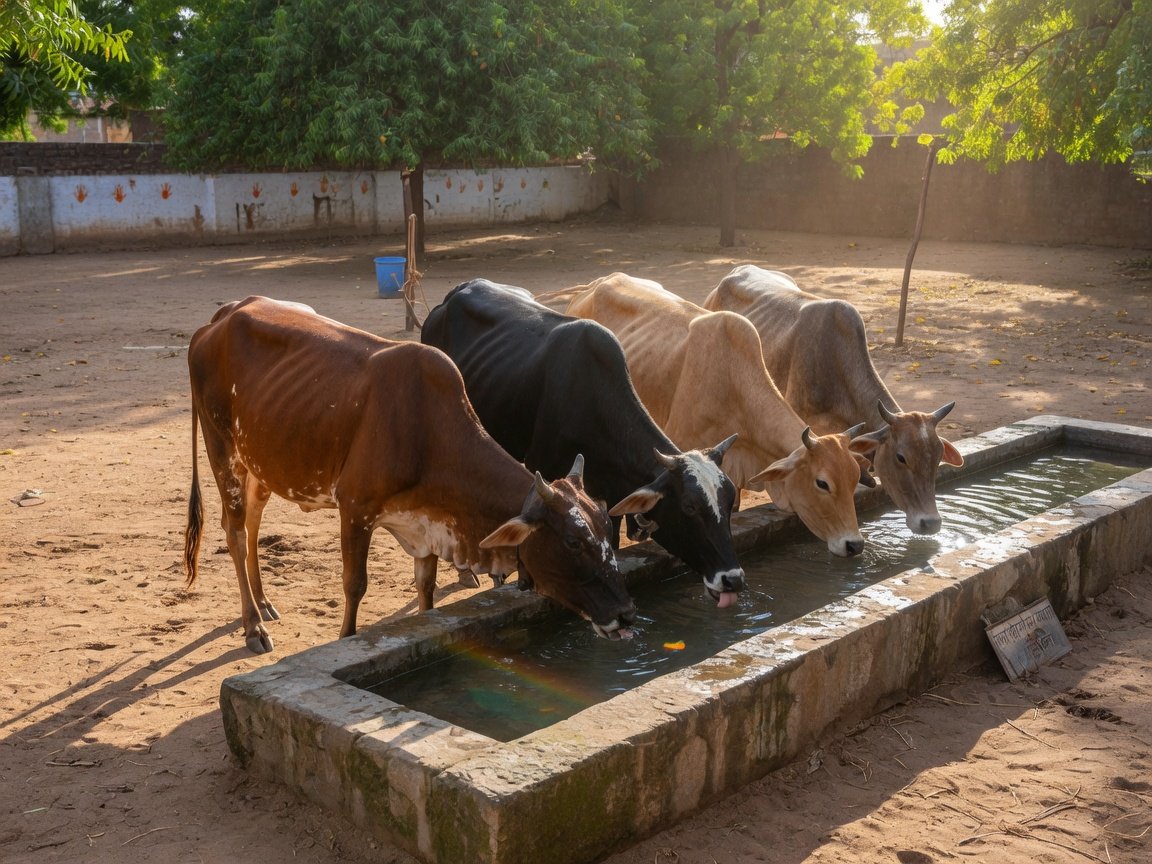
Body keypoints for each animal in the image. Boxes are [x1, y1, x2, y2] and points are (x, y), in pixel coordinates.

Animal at [183, 296, 636, 654]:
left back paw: (264, 603)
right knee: (235, 530)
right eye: (573, 542)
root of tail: (222, 317)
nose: (626, 613)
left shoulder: (427, 523)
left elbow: (427, 589)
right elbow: (355, 585)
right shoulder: (355, 509)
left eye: (608, 531)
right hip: (222, 451)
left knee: (253, 524)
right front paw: (346, 639)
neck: (427, 432)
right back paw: (253, 626)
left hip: (261, 463)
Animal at [420, 279, 746, 608]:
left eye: (730, 500)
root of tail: (457, 292)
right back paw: (468, 574)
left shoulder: (608, 495)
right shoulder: (545, 476)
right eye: (689, 507)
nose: (732, 578)